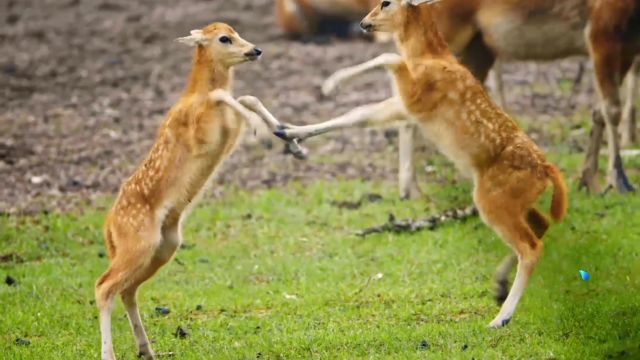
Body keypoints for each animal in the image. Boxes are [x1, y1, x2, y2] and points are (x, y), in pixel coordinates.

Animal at [95, 23, 302, 360]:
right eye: (223, 38)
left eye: (236, 32)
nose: (255, 50)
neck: (195, 95)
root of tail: (109, 227)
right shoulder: (197, 135)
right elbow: (224, 95)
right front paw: (262, 128)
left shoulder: (228, 134)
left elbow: (246, 97)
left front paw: (288, 137)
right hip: (137, 240)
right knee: (104, 286)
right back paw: (110, 354)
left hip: (163, 245)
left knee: (126, 289)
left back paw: (146, 349)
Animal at [272, 0, 568, 328]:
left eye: (385, 2)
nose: (363, 23)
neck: (430, 57)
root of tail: (547, 171)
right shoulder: (403, 106)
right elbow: (356, 114)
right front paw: (288, 132)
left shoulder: (415, 97)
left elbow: (388, 58)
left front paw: (330, 84)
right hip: (513, 200)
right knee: (541, 225)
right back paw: (499, 287)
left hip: (493, 199)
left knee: (530, 247)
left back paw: (500, 318)